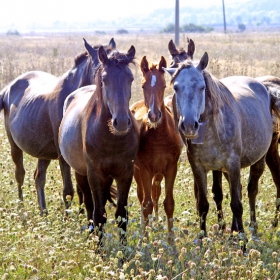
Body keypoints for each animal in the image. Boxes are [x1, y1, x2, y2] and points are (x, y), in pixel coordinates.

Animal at [0, 37, 116, 214]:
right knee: (20, 175)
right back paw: (21, 210)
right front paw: (70, 217)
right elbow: (69, 190)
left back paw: (43, 212)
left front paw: (81, 214)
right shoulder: (63, 156)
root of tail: (8, 87)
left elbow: (81, 189)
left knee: (39, 177)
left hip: (43, 152)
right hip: (15, 147)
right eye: (98, 70)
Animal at [59, 44, 139, 246]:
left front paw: (124, 252)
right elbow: (98, 214)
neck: (111, 139)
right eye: (105, 78)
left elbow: (121, 215)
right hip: (81, 173)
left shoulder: (126, 173)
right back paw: (91, 236)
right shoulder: (94, 173)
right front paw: (99, 250)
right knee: (89, 205)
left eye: (130, 78)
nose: (121, 122)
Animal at [130, 56, 182, 243]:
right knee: (143, 197)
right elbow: (146, 205)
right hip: (137, 171)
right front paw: (145, 240)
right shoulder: (144, 169)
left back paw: (156, 223)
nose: (153, 115)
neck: (159, 135)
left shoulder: (171, 168)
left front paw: (171, 242)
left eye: (164, 85)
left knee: (155, 193)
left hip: (158, 174)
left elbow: (168, 203)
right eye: (143, 86)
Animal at [164, 53, 276, 241]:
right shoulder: (199, 167)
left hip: (258, 160)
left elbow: (237, 205)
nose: (189, 125)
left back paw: (252, 229)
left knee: (251, 191)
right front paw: (202, 241)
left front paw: (243, 243)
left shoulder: (233, 164)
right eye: (176, 87)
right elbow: (203, 204)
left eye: (202, 87)